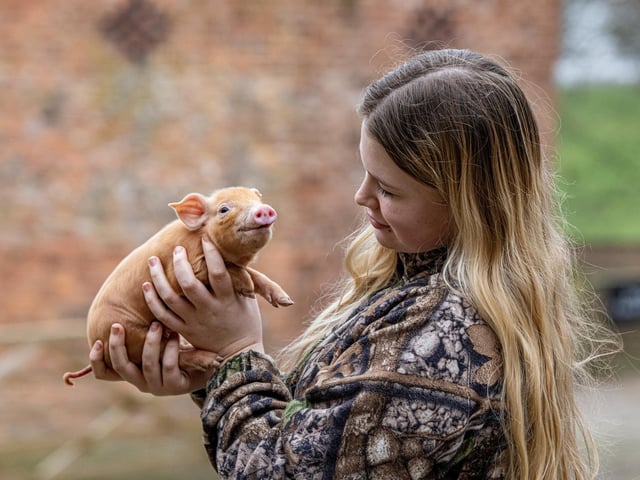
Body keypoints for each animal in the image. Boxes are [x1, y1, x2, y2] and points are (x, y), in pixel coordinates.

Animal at [63, 186, 292, 386]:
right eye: (224, 209)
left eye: (257, 201)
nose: (263, 209)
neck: (201, 236)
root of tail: (96, 344)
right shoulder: (180, 269)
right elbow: (231, 268)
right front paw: (247, 287)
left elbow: (256, 274)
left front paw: (285, 300)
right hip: (130, 333)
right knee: (164, 354)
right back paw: (211, 359)